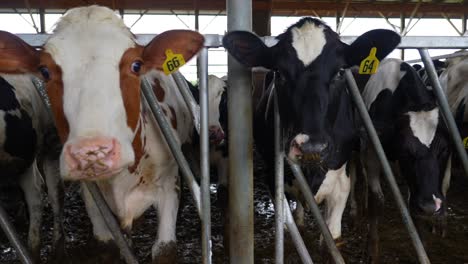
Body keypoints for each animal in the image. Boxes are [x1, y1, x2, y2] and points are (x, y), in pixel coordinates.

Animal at [221, 17, 400, 249]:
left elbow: (332, 238)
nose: (311, 148)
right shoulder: (272, 176)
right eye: (280, 73)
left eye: (340, 72)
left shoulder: (340, 182)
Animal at [354, 58, 454, 262]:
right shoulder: (371, 152)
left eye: (444, 149)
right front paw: (371, 250)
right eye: (406, 152)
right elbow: (377, 200)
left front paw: (423, 246)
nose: (430, 206)